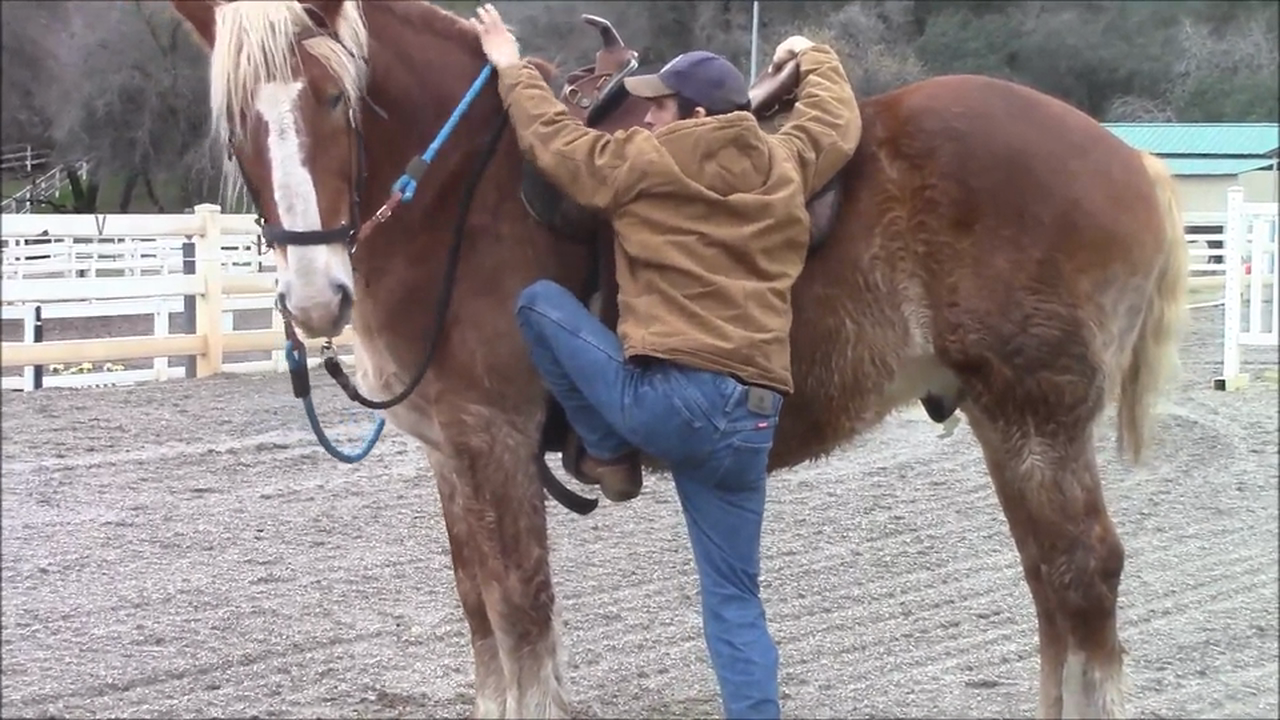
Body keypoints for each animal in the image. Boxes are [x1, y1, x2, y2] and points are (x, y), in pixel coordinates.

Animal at [168, 1, 1190, 718]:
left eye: (335, 98)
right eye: (237, 125)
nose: (314, 299)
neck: (465, 190)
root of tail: (1129, 159)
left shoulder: (494, 443)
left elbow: (521, 614)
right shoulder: (453, 456)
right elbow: (483, 619)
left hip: (1036, 420)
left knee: (1081, 579)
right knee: (1054, 591)